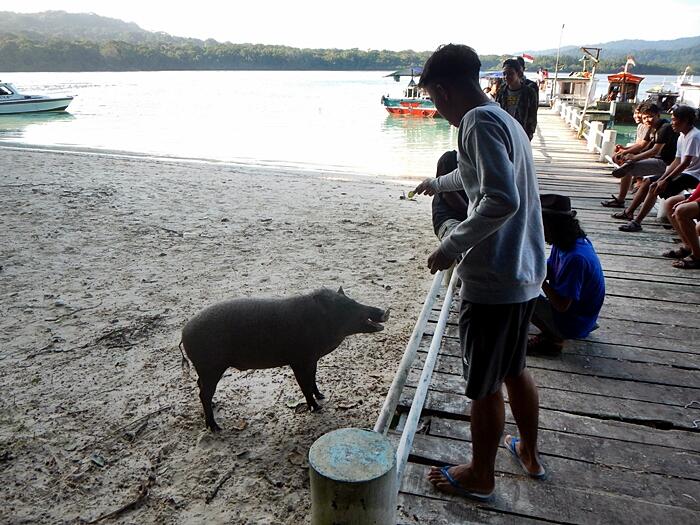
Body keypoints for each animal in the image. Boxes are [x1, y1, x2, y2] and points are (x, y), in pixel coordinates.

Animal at [180, 286, 388, 430]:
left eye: (352, 300)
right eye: (345, 306)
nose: (384, 311)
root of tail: (183, 334)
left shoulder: (312, 359)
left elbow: (313, 379)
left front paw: (321, 396)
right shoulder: (298, 360)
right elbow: (304, 384)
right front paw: (317, 408)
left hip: (205, 370)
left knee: (200, 388)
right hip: (210, 367)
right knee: (203, 393)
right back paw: (215, 428)